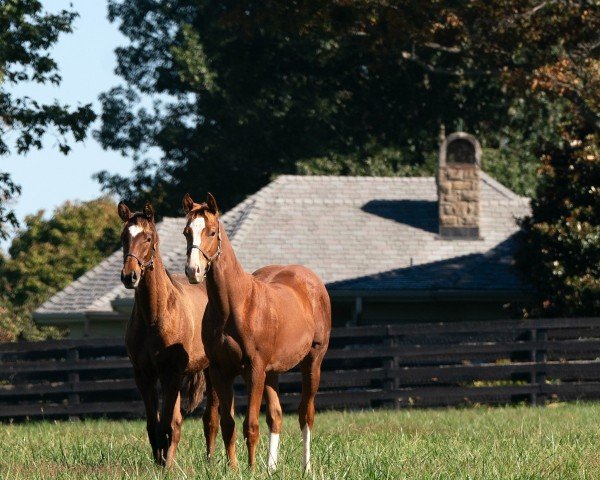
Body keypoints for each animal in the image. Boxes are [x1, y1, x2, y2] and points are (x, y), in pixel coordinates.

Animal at [117, 202, 220, 468]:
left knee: (211, 417)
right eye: (123, 238)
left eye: (148, 238)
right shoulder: (144, 376)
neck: (155, 316)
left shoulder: (171, 373)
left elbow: (169, 424)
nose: (129, 276)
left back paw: (211, 460)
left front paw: (168, 465)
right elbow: (154, 424)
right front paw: (158, 462)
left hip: (209, 371)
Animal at [182, 193, 332, 470]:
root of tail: (312, 281)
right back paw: (271, 467)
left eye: (211, 232)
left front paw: (250, 470)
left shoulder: (254, 370)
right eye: (187, 232)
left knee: (306, 414)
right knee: (276, 416)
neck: (236, 305)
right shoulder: (221, 371)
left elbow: (250, 425)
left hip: (312, 361)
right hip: (271, 373)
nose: (192, 271)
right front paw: (234, 468)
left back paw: (306, 467)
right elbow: (228, 424)